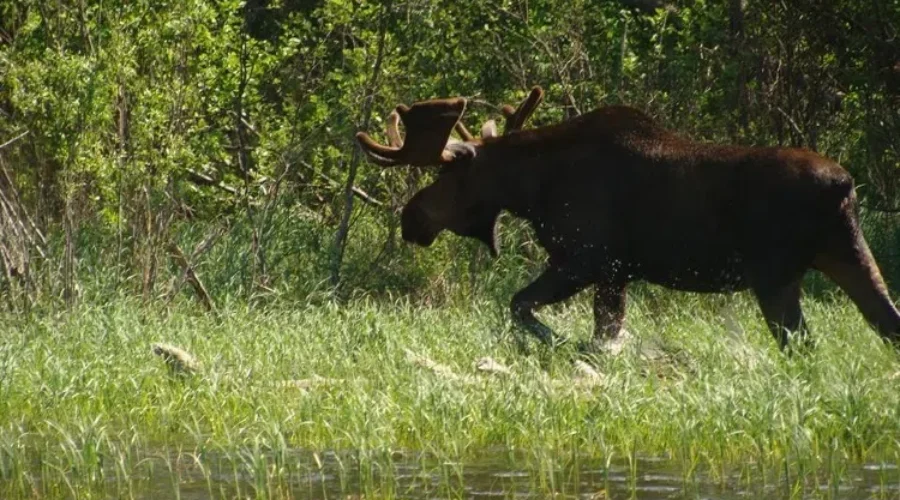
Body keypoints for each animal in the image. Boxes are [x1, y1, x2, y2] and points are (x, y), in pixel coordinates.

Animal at [355, 86, 900, 353]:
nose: (411, 217)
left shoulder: (587, 258)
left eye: (447, 173)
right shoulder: (615, 273)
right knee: (882, 324)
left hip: (774, 276)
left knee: (803, 345)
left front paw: (564, 344)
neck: (532, 188)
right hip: (846, 254)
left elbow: (522, 306)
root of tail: (845, 186)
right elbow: (602, 327)